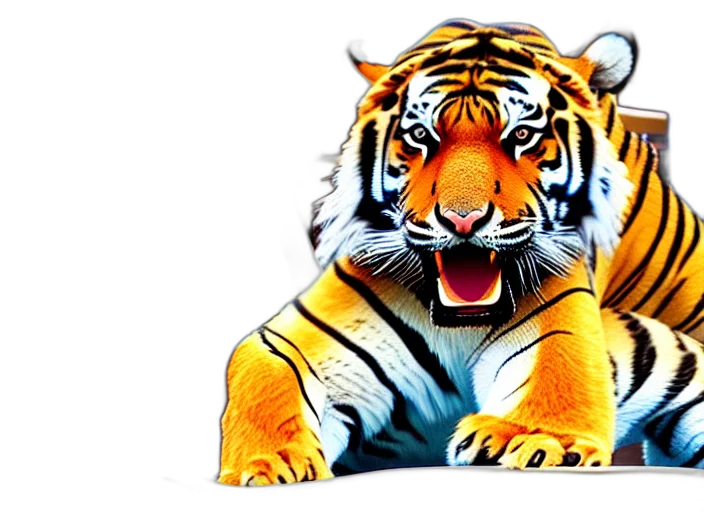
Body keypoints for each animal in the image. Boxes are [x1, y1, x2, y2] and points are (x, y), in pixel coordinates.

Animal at [219, 19, 704, 486]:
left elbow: (555, 372)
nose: (463, 220)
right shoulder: (299, 337)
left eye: (522, 135)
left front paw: (534, 441)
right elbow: (267, 377)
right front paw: (268, 463)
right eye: (419, 136)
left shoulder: (560, 320)